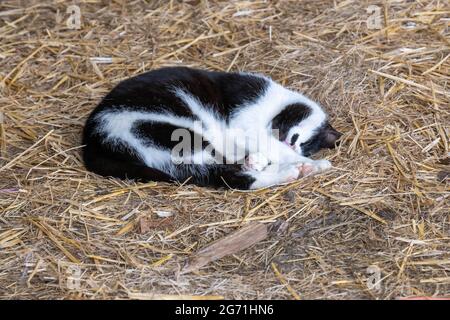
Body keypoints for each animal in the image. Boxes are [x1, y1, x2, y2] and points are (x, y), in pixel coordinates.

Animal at [81, 66, 342, 189]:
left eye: (306, 146)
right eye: (297, 139)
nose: (294, 146)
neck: (273, 101)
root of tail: (92, 141)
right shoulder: (245, 120)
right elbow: (272, 146)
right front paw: (313, 164)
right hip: (175, 134)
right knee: (226, 176)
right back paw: (291, 171)